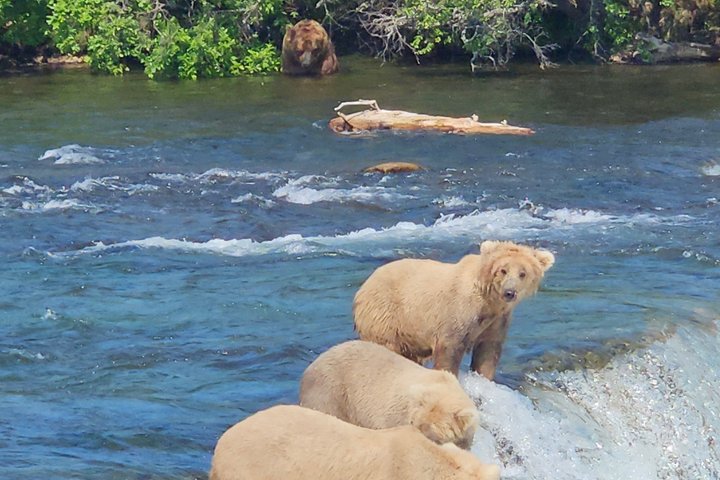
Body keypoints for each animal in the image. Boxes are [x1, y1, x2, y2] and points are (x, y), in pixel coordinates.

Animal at [353, 240, 555, 380]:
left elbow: (488, 351)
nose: (509, 292)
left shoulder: (497, 320)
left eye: (523, 273)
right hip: (387, 316)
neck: (489, 302)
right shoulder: (458, 313)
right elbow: (450, 349)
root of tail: (364, 285)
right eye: (503, 270)